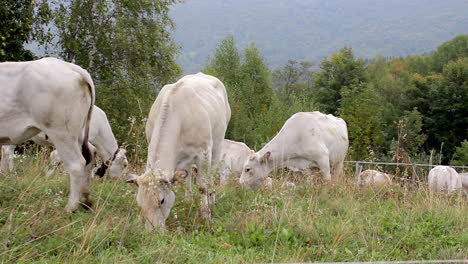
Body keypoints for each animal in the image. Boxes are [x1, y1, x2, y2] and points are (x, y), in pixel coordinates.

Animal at [0, 57, 95, 212]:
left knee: (76, 164)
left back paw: (70, 208)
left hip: (62, 133)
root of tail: (68, 66)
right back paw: (85, 200)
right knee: (90, 156)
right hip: (78, 133)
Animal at [127, 72, 231, 231]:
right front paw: (139, 221)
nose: (152, 231)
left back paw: (212, 199)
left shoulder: (203, 153)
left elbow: (202, 186)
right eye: (140, 203)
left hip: (217, 144)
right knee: (187, 178)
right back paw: (189, 200)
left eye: (162, 200)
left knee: (211, 177)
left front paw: (206, 216)